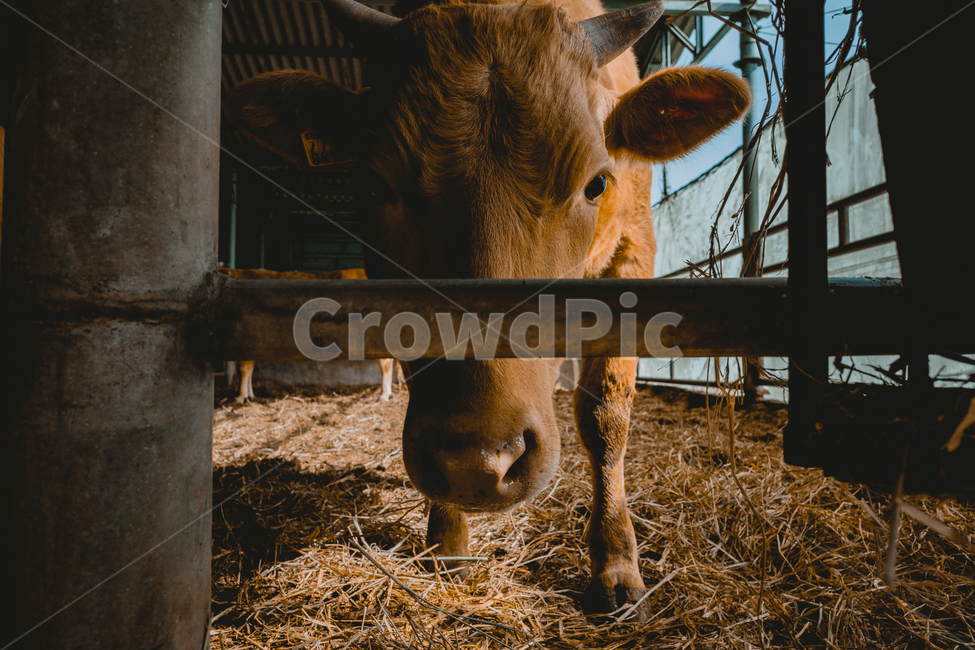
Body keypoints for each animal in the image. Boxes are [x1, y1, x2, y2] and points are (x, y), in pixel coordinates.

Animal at [218, 267, 403, 402]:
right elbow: (248, 369)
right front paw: (249, 394)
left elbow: (244, 368)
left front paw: (240, 397)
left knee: (386, 362)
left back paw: (384, 394)